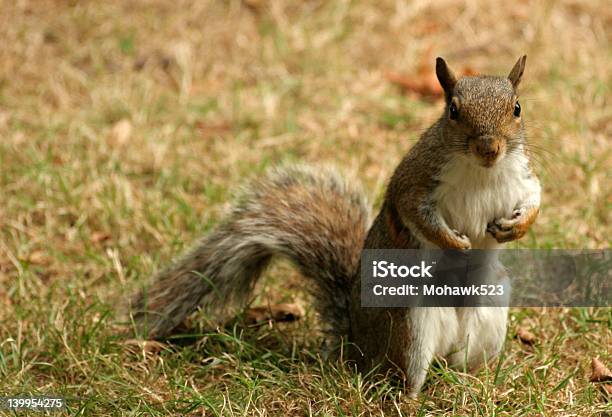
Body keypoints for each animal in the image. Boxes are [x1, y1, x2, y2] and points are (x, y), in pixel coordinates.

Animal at [129, 56, 540, 396]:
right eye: (453, 111)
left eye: (517, 108)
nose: (489, 148)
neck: (481, 172)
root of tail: (357, 345)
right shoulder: (415, 182)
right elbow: (417, 214)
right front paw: (455, 244)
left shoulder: (521, 178)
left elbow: (535, 197)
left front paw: (516, 227)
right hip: (409, 324)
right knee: (399, 376)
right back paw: (411, 398)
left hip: (490, 308)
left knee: (460, 362)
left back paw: (475, 382)